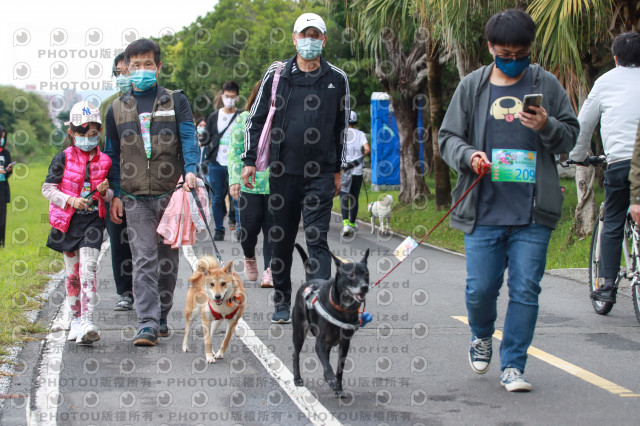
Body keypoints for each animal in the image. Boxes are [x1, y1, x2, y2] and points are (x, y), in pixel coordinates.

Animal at [292, 245, 370, 398]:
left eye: (366, 274)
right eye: (351, 275)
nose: (364, 287)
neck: (343, 309)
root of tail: (309, 281)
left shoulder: (345, 344)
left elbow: (339, 368)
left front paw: (338, 386)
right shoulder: (320, 343)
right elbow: (327, 365)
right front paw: (332, 380)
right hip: (299, 331)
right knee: (295, 354)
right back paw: (297, 378)